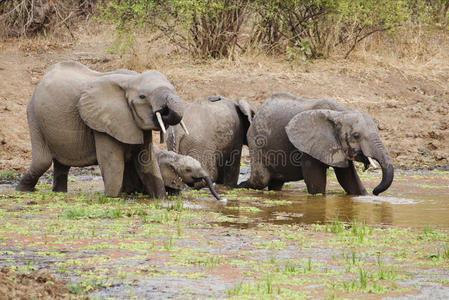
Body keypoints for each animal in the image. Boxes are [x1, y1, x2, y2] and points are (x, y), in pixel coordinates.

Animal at [15, 60, 187, 197]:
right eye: (142, 97)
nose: (164, 111)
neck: (130, 81)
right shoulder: (103, 124)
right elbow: (114, 166)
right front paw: (111, 198)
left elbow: (147, 164)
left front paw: (161, 199)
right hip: (34, 115)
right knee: (42, 161)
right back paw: (22, 191)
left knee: (61, 164)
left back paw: (59, 193)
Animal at [238, 92, 392, 196]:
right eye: (356, 136)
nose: (375, 192)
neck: (340, 113)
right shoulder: (308, 146)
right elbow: (317, 185)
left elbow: (349, 179)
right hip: (256, 142)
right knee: (260, 180)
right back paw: (238, 186)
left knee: (275, 182)